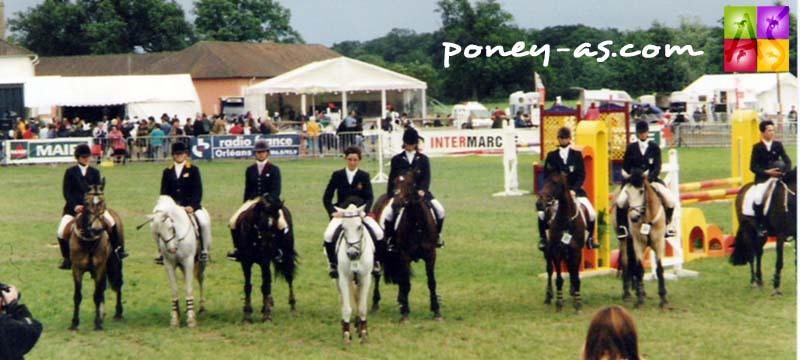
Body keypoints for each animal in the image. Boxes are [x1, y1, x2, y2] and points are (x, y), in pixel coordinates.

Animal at [67, 179, 123, 330]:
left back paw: (118, 313)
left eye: (103, 201)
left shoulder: (99, 268)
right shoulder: (77, 269)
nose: (97, 229)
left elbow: (97, 295)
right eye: (86, 203)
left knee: (118, 284)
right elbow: (77, 296)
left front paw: (97, 323)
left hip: (115, 263)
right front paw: (74, 323)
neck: (89, 241)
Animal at [376, 170, 440, 322]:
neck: (417, 223)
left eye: (411, 184)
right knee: (377, 275)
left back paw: (400, 301)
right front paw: (405, 314)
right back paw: (375, 304)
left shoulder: (431, 255)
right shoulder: (404, 255)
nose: (395, 205)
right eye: (394, 182)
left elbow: (431, 282)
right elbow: (406, 284)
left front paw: (436, 311)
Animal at [536, 172, 588, 312]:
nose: (539, 203)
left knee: (570, 271)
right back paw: (548, 296)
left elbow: (576, 277)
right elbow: (559, 278)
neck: (566, 220)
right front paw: (559, 302)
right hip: (548, 251)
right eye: (544, 180)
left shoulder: (576, 251)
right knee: (550, 270)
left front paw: (578, 302)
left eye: (555, 182)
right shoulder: (556, 252)